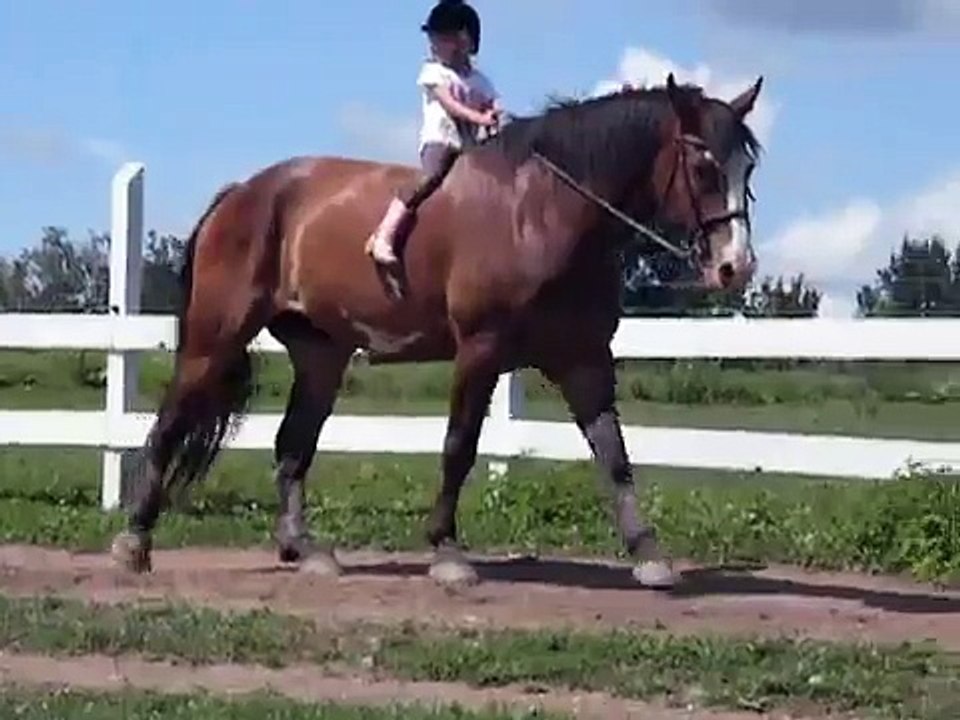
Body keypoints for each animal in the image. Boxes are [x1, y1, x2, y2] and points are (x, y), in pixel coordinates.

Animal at [110, 72, 764, 589]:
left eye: (747, 167)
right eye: (703, 165)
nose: (736, 266)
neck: (544, 211)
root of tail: (241, 193)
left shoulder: (584, 359)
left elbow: (615, 454)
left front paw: (649, 554)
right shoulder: (480, 350)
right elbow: (459, 447)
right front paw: (447, 551)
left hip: (321, 356)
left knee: (292, 445)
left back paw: (305, 548)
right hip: (214, 338)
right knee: (169, 424)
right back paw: (134, 543)